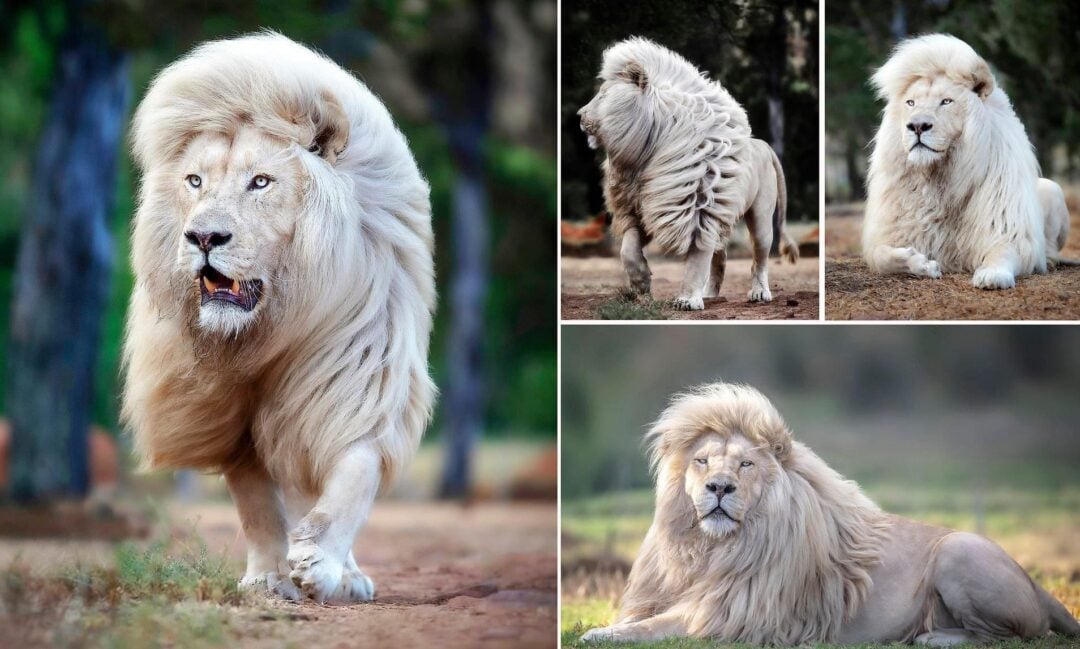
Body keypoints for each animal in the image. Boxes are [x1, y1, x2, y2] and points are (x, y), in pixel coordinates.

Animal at [121, 33, 435, 604]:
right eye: (194, 181)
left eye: (261, 182)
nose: (203, 237)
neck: (269, 328)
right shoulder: (225, 411)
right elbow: (257, 505)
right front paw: (268, 578)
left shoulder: (360, 376)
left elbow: (353, 476)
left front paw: (321, 564)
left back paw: (346, 576)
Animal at [578, 38, 798, 310]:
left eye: (604, 95)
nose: (579, 115)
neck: (645, 155)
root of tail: (764, 145)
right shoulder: (640, 208)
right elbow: (627, 251)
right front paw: (641, 285)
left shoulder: (699, 210)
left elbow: (696, 260)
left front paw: (687, 300)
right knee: (721, 256)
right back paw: (710, 293)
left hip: (760, 217)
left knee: (760, 257)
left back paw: (759, 293)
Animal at [582, 384, 1080, 646]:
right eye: (702, 461)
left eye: (745, 465)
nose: (719, 488)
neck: (708, 549)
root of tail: (1036, 583)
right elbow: (637, 619)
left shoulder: (729, 617)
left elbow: (649, 628)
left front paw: (596, 635)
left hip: (959, 549)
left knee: (1012, 635)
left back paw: (930, 636)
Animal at [863, 34, 1072, 289]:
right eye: (910, 103)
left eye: (946, 101)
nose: (917, 126)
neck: (939, 178)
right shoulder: (891, 233)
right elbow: (881, 257)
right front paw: (922, 265)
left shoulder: (1009, 231)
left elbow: (1002, 252)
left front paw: (992, 275)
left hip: (1052, 188)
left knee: (1050, 247)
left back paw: (1048, 261)